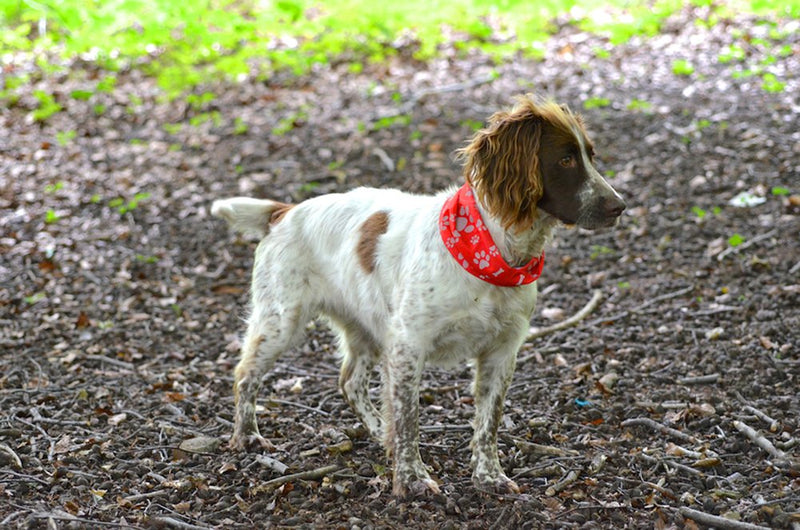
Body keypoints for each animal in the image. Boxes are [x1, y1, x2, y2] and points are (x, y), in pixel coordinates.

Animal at [212, 94, 624, 496]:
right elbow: (409, 419)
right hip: (282, 321)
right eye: (566, 159)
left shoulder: (502, 351)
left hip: (366, 327)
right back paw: (247, 437)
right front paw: (411, 479)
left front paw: (488, 477)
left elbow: (488, 423)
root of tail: (284, 212)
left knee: (350, 382)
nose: (619, 206)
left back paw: (380, 432)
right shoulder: (409, 345)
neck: (492, 249)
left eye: (591, 155)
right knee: (245, 374)